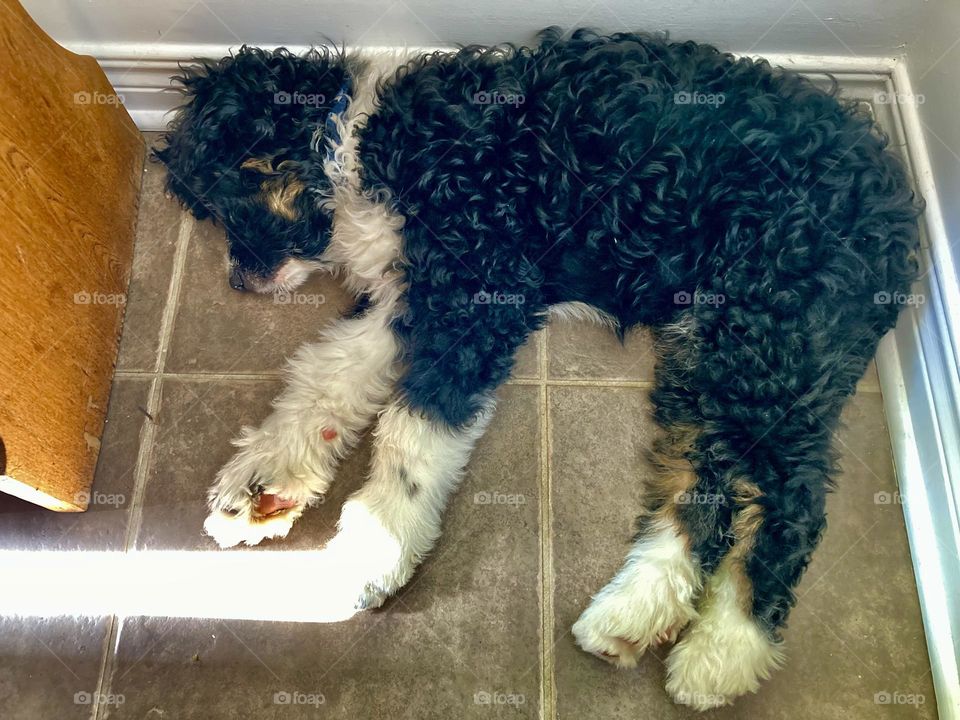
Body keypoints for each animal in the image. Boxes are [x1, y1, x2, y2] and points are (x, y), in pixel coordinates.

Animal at [158, 31, 924, 712]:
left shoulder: (473, 297)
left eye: (225, 201)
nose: (237, 282)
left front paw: (370, 555)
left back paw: (723, 651)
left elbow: (410, 432)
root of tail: (894, 198)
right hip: (703, 347)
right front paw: (264, 482)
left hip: (769, 335)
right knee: (704, 484)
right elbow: (327, 373)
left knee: (789, 495)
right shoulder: (408, 298)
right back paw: (632, 616)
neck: (363, 143)